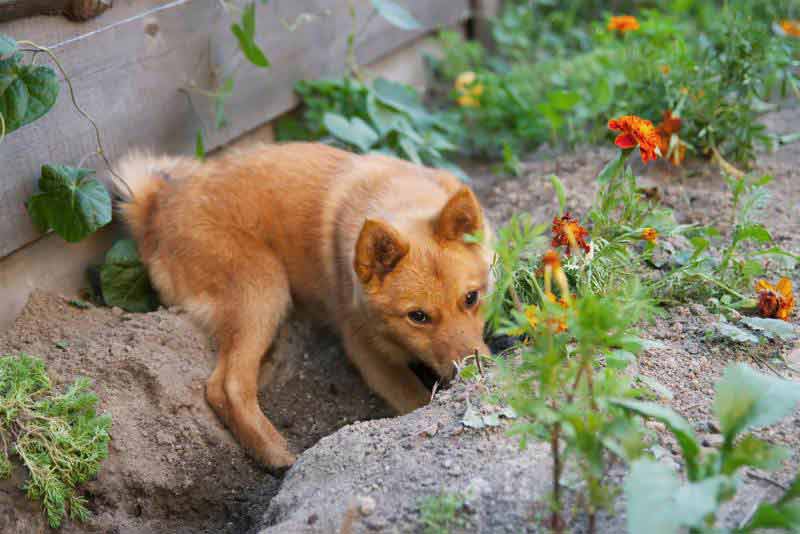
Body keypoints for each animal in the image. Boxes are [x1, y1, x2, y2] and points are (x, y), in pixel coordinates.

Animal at [117, 143, 494, 474]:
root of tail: (157, 206)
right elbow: (416, 401)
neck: (396, 197)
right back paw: (276, 454)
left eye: (471, 298)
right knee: (227, 386)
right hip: (264, 286)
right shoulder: (369, 356)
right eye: (418, 317)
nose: (476, 373)